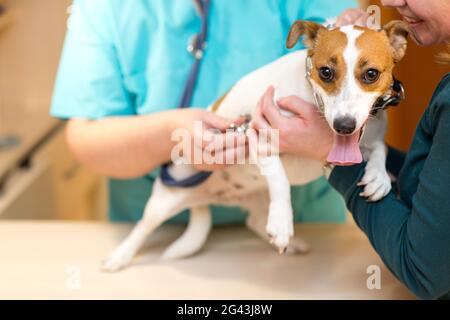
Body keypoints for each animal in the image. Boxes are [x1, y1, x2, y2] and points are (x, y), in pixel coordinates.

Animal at [101, 20, 408, 272]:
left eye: (371, 74)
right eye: (325, 72)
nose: (344, 125)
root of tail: (208, 199)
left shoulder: (371, 136)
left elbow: (380, 150)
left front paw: (378, 177)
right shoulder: (260, 137)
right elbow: (280, 179)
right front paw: (283, 222)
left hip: (257, 197)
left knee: (255, 221)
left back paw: (289, 242)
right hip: (164, 200)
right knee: (143, 227)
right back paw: (119, 257)